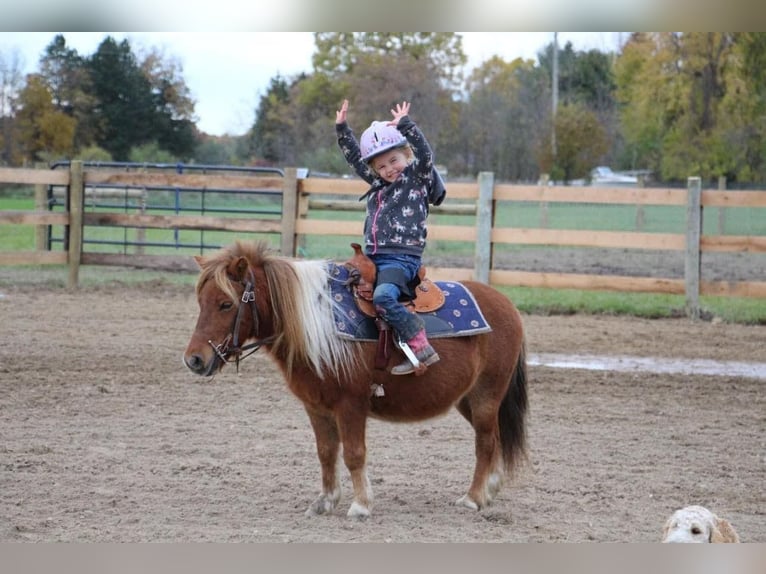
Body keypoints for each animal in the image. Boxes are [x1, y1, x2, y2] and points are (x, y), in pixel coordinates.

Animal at [184, 241, 532, 520]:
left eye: (226, 303)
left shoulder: (350, 405)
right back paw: (489, 491)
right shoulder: (316, 406)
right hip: (467, 400)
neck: (319, 324)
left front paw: (361, 505)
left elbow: (353, 453)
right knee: (495, 438)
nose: (194, 360)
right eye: (200, 302)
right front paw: (324, 502)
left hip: (486, 395)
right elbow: (326, 452)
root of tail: (507, 305)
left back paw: (473, 498)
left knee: (485, 443)